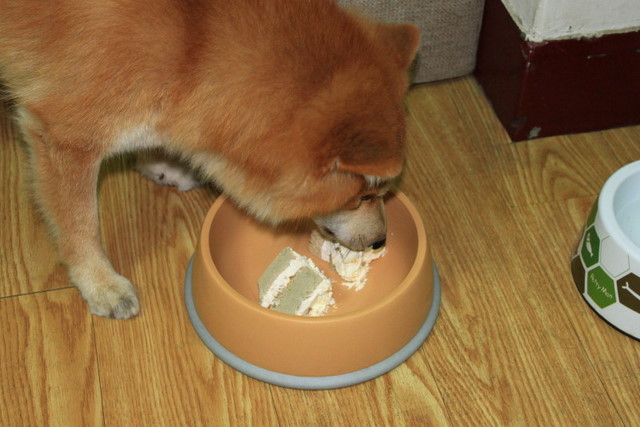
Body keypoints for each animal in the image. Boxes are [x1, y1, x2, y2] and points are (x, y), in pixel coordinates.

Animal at [0, 0, 419, 319]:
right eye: (361, 197)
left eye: (381, 194)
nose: (381, 241)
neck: (192, 44)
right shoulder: (64, 137)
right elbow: (80, 225)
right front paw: (101, 285)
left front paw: (164, 164)